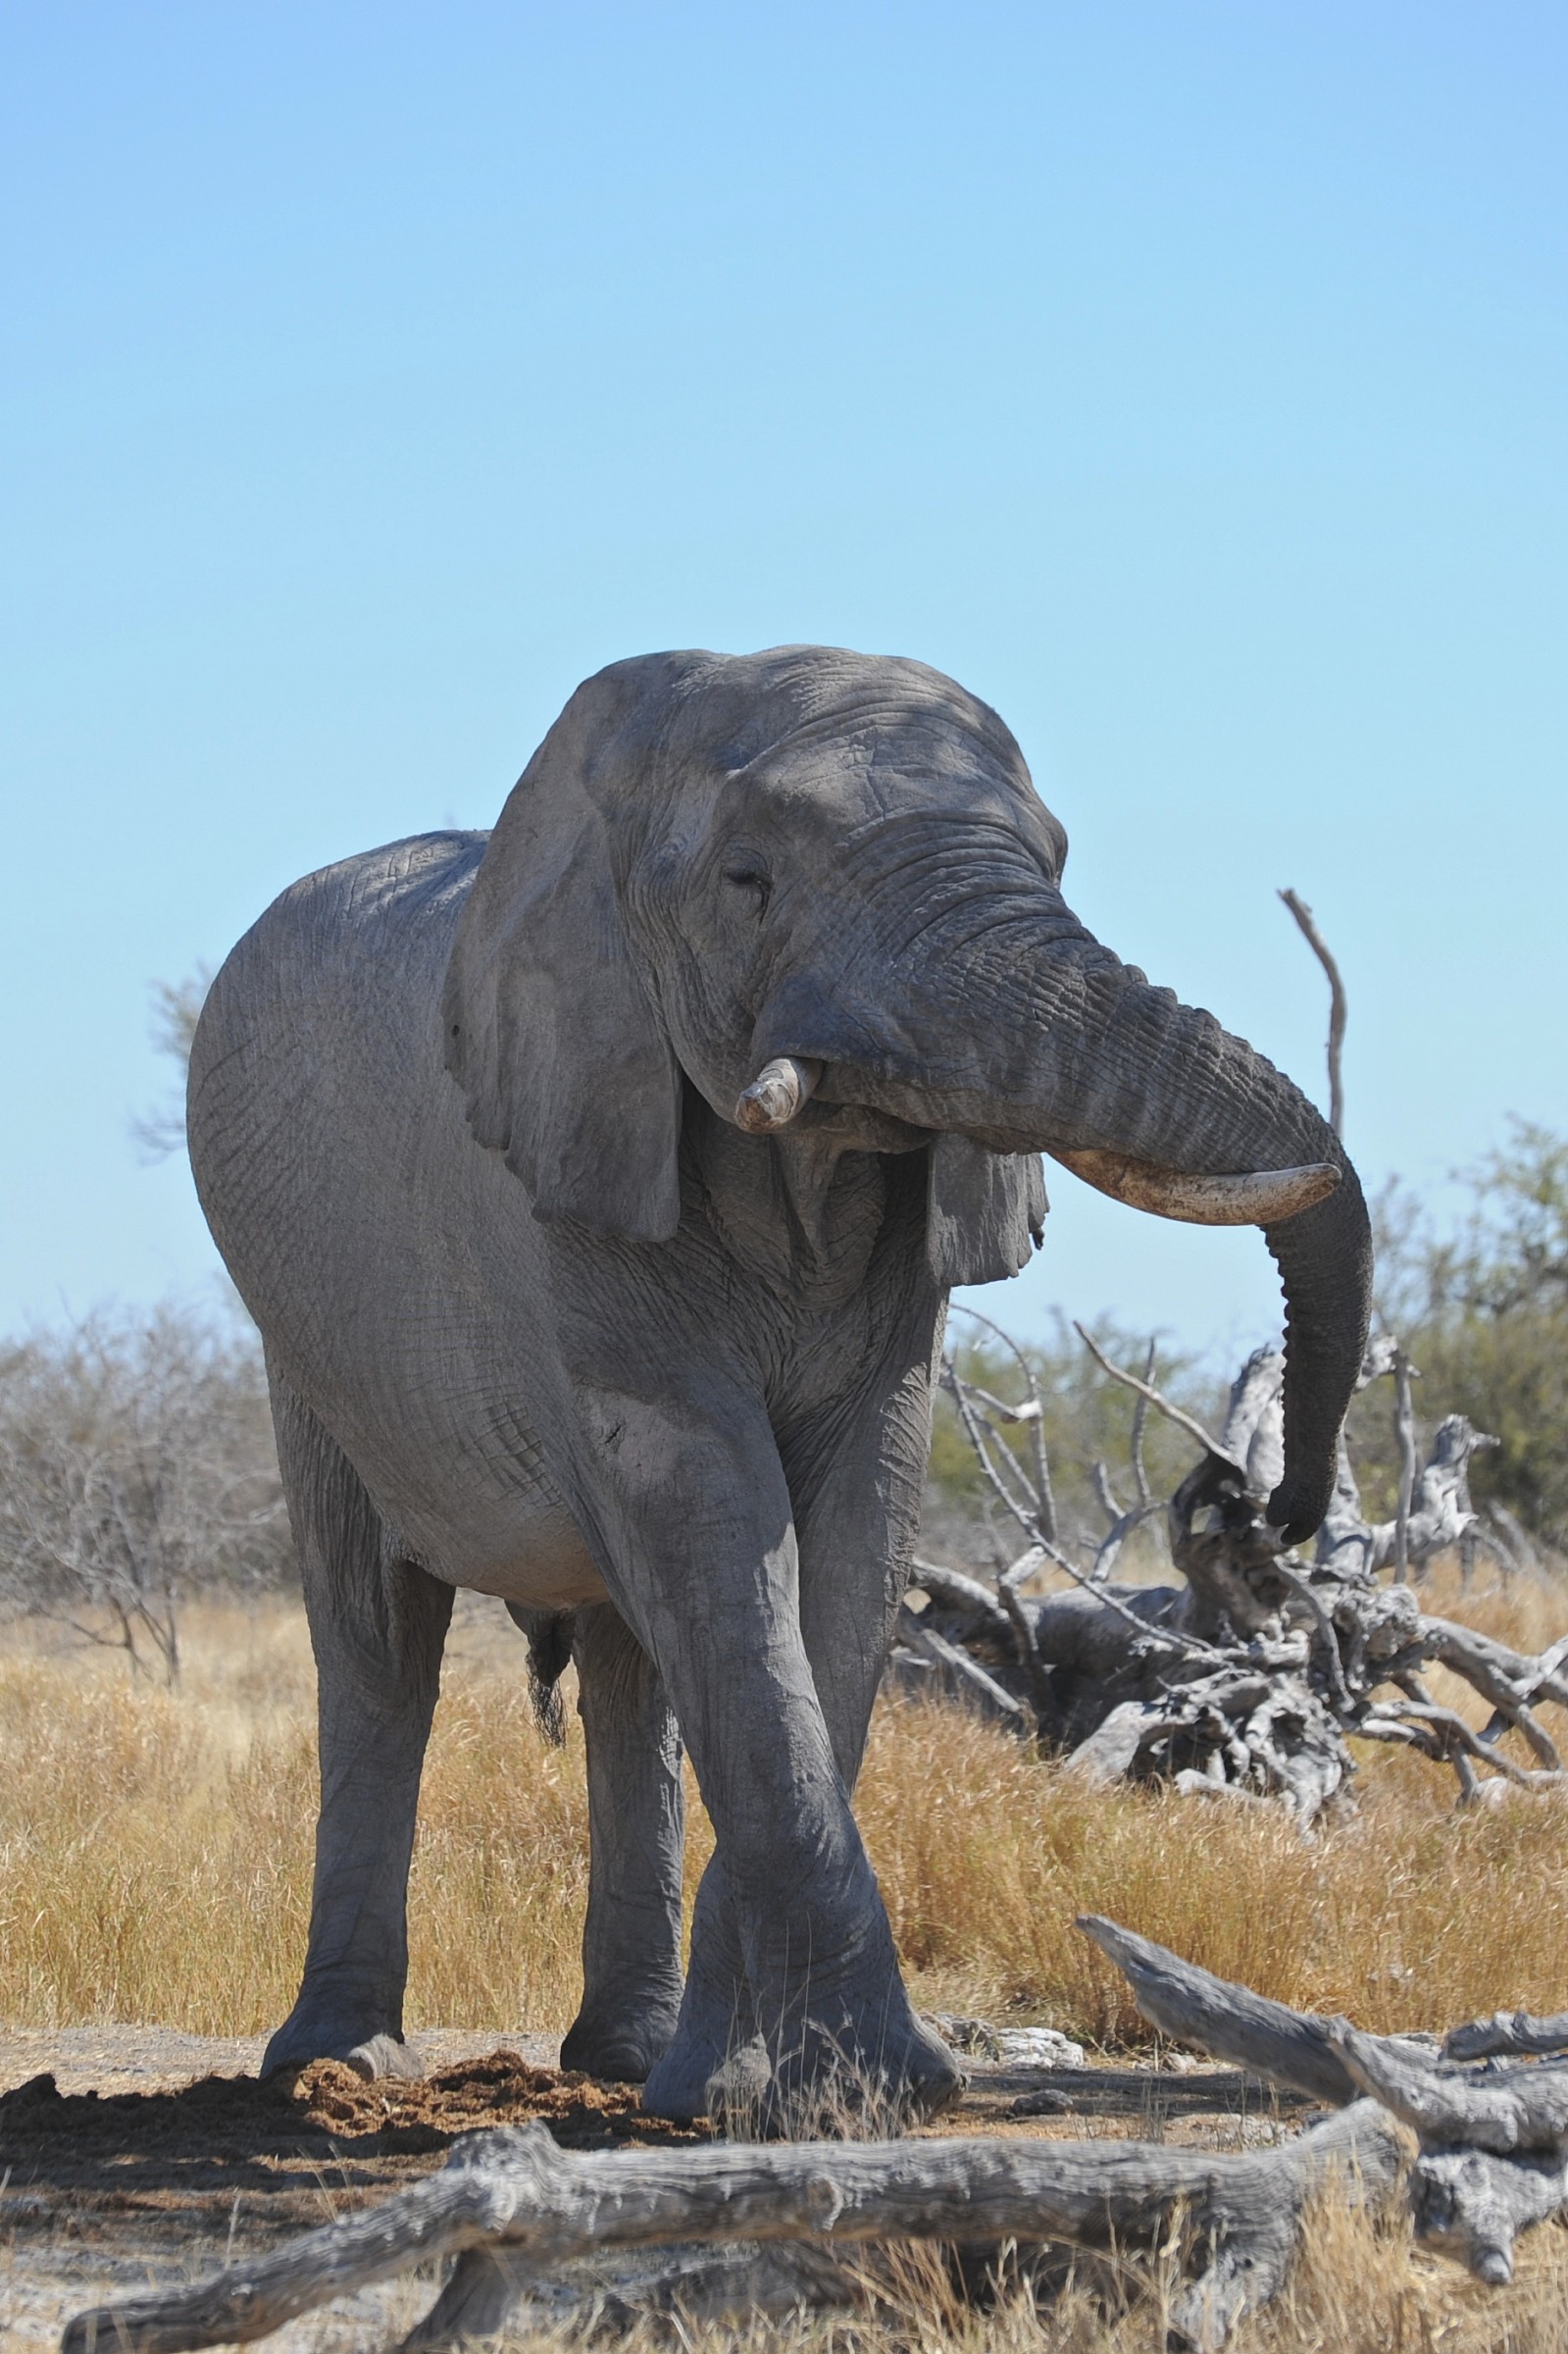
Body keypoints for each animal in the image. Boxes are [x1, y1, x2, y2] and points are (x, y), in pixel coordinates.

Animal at [188, 645, 1371, 2124]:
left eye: (1054, 858)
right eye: (747, 880)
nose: (1274, 1513)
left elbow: (851, 1542)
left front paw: (742, 2090)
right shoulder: (568, 1159)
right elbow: (712, 1512)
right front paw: (853, 2095)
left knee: (629, 1679)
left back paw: (624, 2060)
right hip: (303, 1335)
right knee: (378, 1649)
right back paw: (340, 2067)